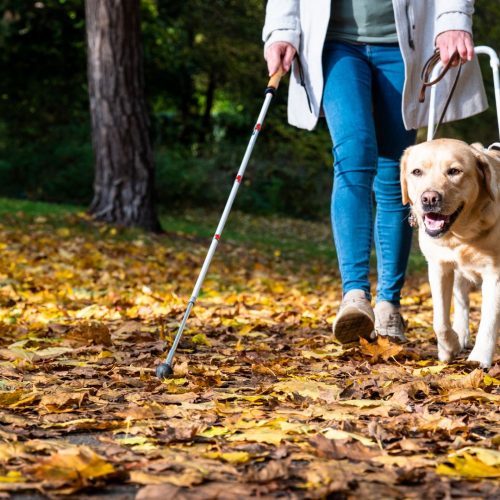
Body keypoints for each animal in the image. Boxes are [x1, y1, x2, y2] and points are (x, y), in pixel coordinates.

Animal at [400, 139, 498, 370]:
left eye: (454, 171)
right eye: (417, 172)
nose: (429, 198)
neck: (461, 236)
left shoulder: (495, 275)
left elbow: (488, 320)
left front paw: (480, 357)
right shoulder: (439, 267)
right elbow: (440, 321)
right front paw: (449, 347)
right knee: (462, 301)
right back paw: (460, 335)